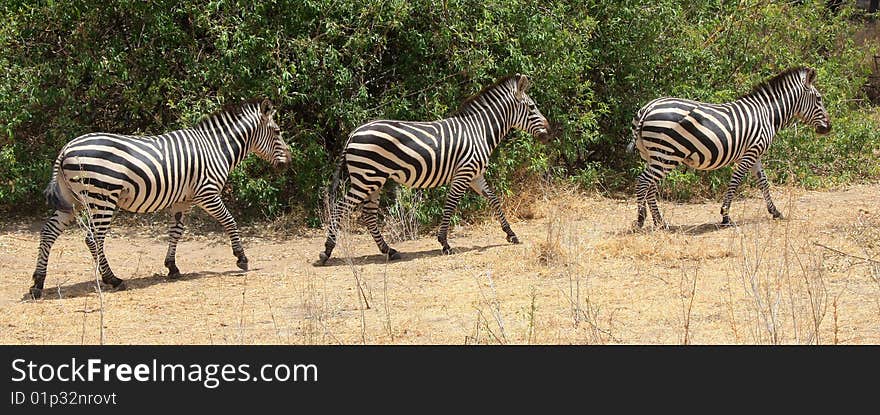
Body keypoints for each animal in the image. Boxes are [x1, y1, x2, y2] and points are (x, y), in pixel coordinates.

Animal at [29, 98, 290, 300]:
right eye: (277, 132)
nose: (289, 161)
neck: (216, 148)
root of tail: (66, 148)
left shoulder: (183, 200)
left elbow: (176, 231)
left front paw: (172, 267)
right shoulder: (207, 193)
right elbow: (230, 221)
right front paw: (241, 258)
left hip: (72, 200)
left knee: (49, 232)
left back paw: (37, 283)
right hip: (102, 198)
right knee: (93, 239)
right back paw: (112, 279)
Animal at [316, 73, 552, 264]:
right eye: (532, 107)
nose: (549, 133)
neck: (479, 131)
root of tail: (353, 133)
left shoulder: (476, 175)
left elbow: (494, 199)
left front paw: (510, 233)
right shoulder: (464, 173)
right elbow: (450, 205)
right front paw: (445, 243)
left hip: (374, 179)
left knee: (368, 214)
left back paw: (389, 250)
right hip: (366, 178)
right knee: (340, 208)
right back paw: (326, 252)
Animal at [628, 68, 828, 231]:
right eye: (819, 99)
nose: (828, 128)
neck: (767, 114)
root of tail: (648, 107)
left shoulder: (756, 154)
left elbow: (763, 182)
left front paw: (775, 211)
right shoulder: (750, 153)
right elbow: (736, 181)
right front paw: (725, 216)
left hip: (652, 155)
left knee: (651, 186)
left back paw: (659, 222)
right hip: (666, 154)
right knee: (643, 182)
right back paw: (641, 220)